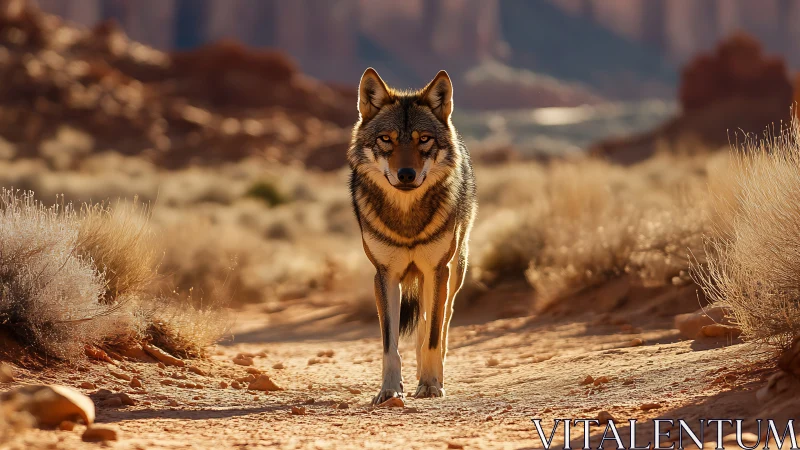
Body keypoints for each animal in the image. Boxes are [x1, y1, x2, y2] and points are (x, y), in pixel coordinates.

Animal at [348, 68, 477, 404]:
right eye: (386, 139)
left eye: (424, 139)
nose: (406, 174)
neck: (407, 221)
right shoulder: (384, 275)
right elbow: (389, 345)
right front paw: (390, 389)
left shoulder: (437, 271)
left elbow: (432, 336)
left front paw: (430, 384)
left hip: (454, 273)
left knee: (438, 325)